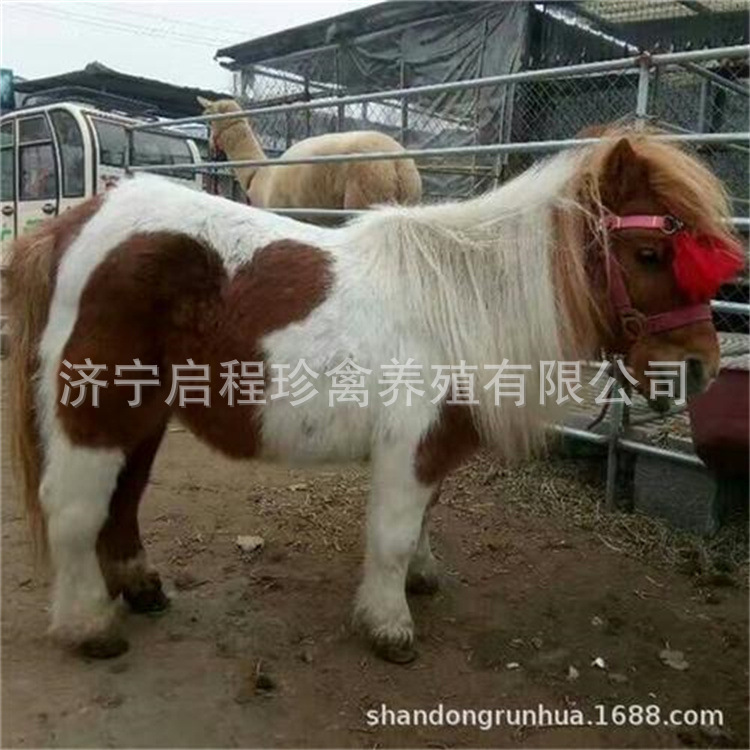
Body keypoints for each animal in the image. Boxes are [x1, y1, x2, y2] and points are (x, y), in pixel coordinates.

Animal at [6, 128, 743, 663]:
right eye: (650, 254)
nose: (698, 369)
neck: (460, 303)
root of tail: (74, 224)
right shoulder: (409, 447)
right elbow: (390, 534)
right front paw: (389, 625)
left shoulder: (434, 449)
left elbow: (422, 523)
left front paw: (421, 576)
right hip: (97, 407)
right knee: (73, 509)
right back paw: (88, 627)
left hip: (145, 410)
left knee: (123, 500)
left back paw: (140, 588)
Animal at [197, 97, 423, 209]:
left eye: (210, 120)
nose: (212, 149)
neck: (259, 174)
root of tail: (397, 164)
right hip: (407, 198)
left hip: (365, 194)